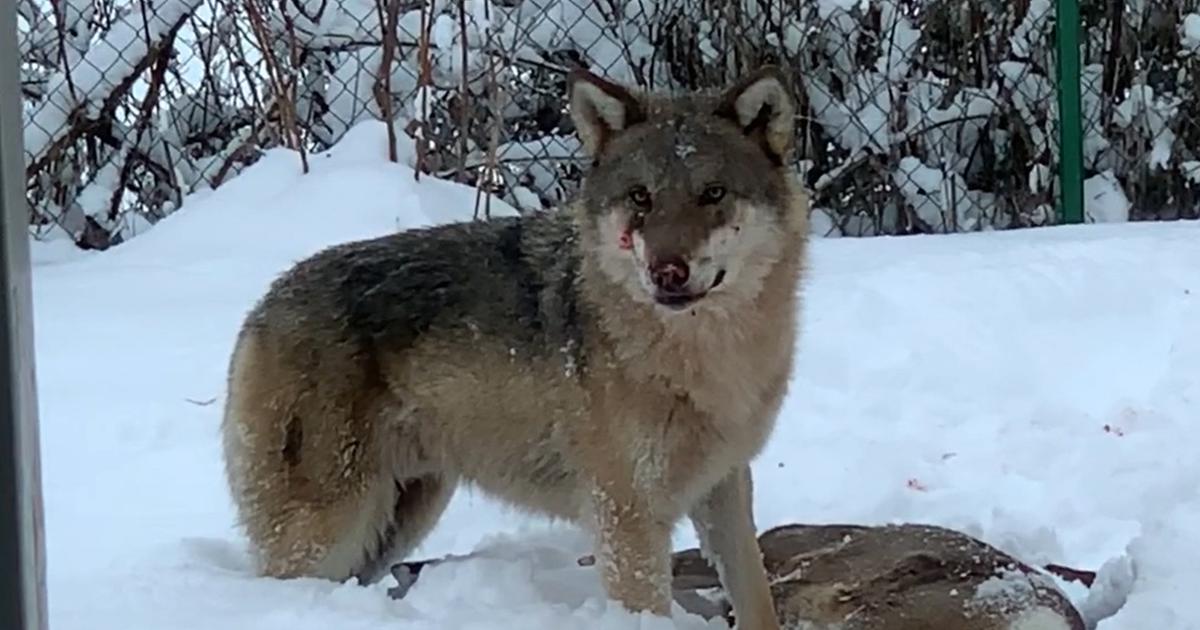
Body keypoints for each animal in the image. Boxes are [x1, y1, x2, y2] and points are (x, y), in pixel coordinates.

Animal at [220, 61, 811, 624]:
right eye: (640, 197)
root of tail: (261, 307)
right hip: (332, 534)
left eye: (713, 194)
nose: (667, 272)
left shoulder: (725, 485)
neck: (704, 357)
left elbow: (756, 598)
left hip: (399, 521)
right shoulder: (626, 515)